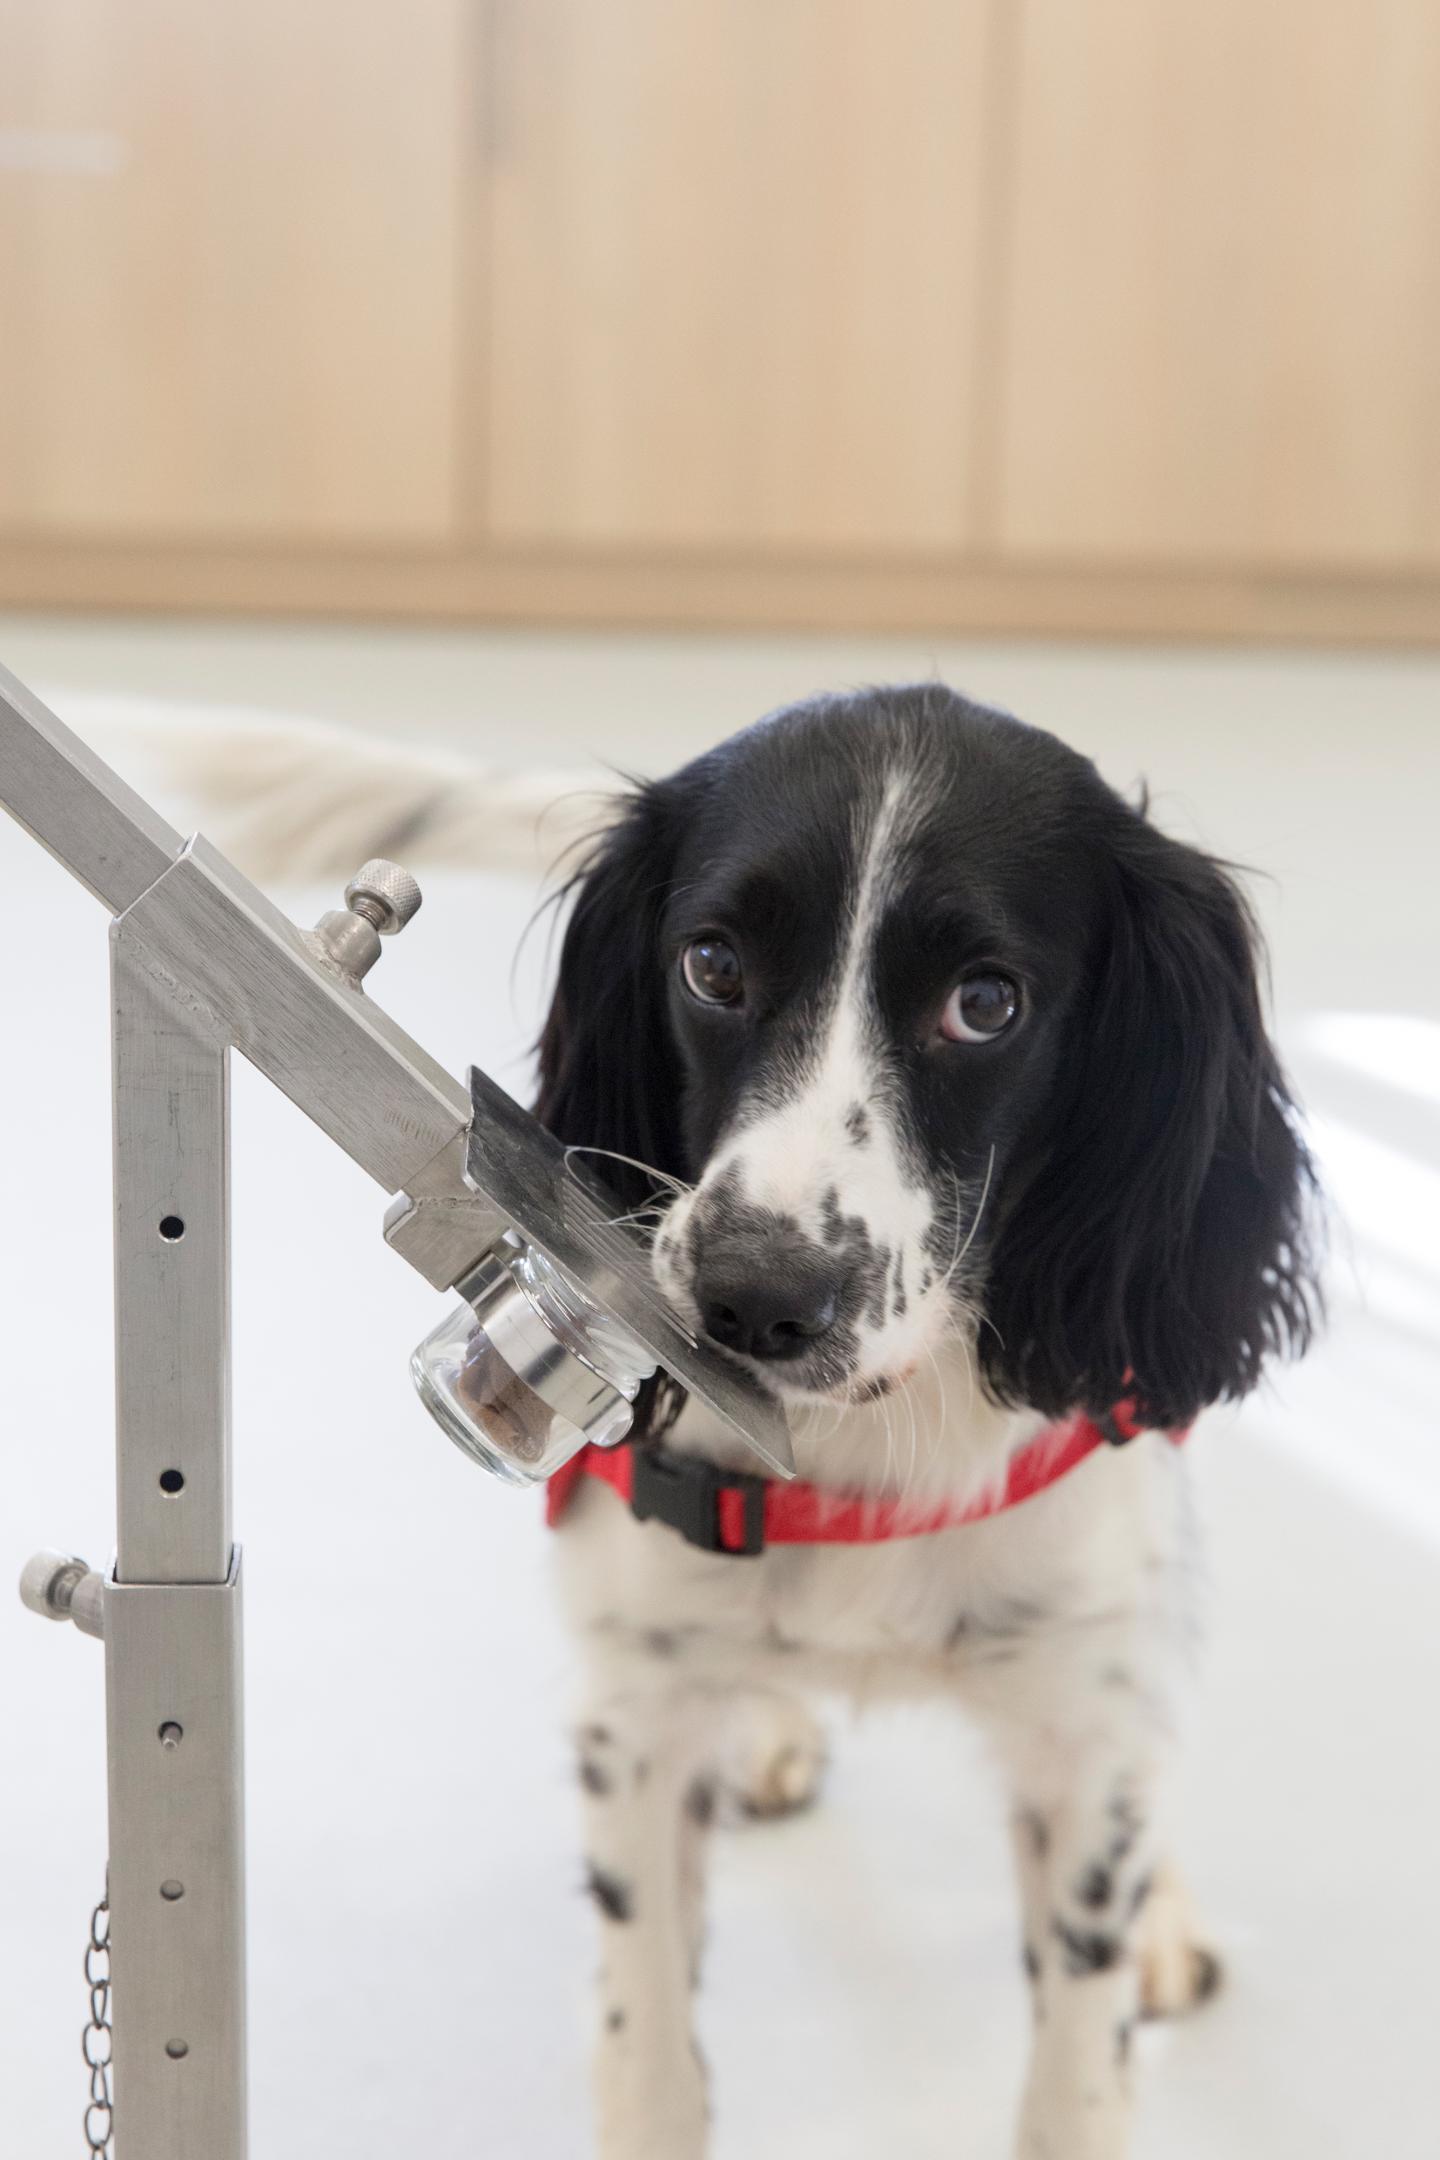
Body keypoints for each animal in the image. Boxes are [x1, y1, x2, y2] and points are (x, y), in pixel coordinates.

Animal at [535, 686, 1321, 2160]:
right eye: (713, 965)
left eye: (985, 1003)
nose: (751, 1297)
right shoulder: (641, 1714)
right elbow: (647, 2054)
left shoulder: (1080, 1716)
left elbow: (1077, 2068)